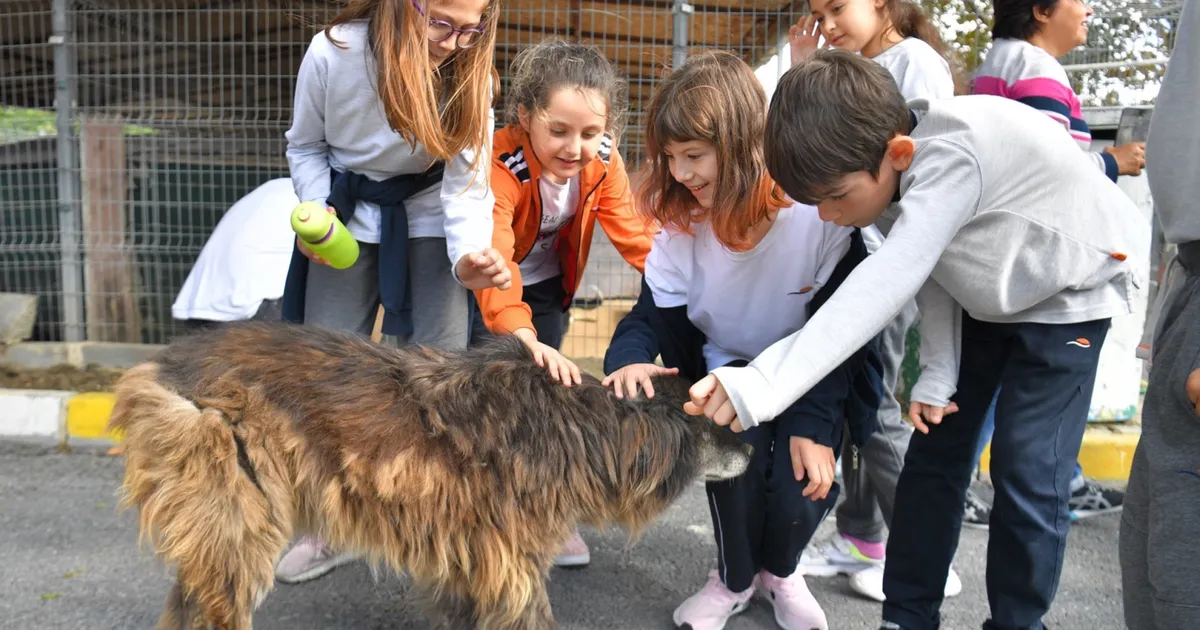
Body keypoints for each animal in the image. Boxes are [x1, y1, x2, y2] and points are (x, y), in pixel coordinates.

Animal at [110, 321, 748, 624]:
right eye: (713, 418)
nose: (750, 449)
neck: (579, 425)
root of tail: (164, 363)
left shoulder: (472, 562)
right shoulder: (513, 567)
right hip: (239, 526)